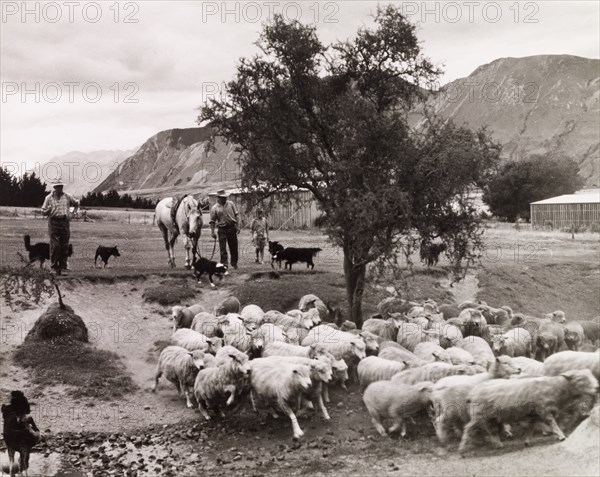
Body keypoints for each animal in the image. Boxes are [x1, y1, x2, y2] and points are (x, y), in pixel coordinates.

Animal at [458, 368, 596, 454]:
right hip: (478, 415)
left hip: (490, 417)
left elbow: (531, 427)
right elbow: (552, 423)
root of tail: (471, 394)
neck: (556, 388)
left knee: (491, 430)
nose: (596, 388)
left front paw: (527, 441)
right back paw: (462, 449)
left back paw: (498, 444)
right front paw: (561, 435)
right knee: (468, 428)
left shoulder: (533, 414)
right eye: (580, 379)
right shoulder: (543, 409)